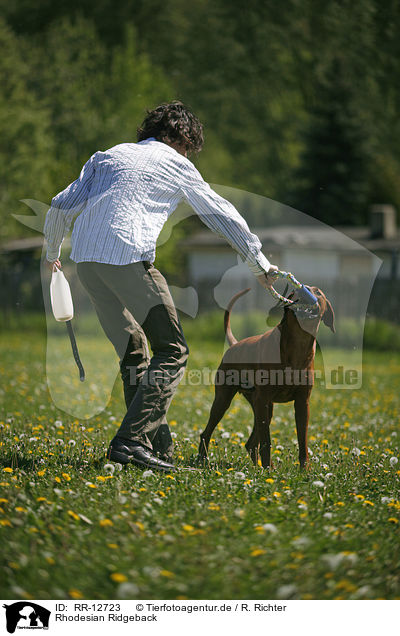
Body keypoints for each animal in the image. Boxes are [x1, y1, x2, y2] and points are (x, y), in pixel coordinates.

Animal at [198, 286, 334, 470]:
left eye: (318, 292)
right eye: (292, 292)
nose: (302, 289)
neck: (297, 345)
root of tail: (235, 344)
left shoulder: (302, 403)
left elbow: (302, 440)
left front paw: (304, 469)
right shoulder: (262, 399)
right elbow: (266, 441)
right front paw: (268, 469)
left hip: (262, 406)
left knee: (250, 443)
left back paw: (258, 467)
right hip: (224, 400)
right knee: (206, 432)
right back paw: (202, 460)